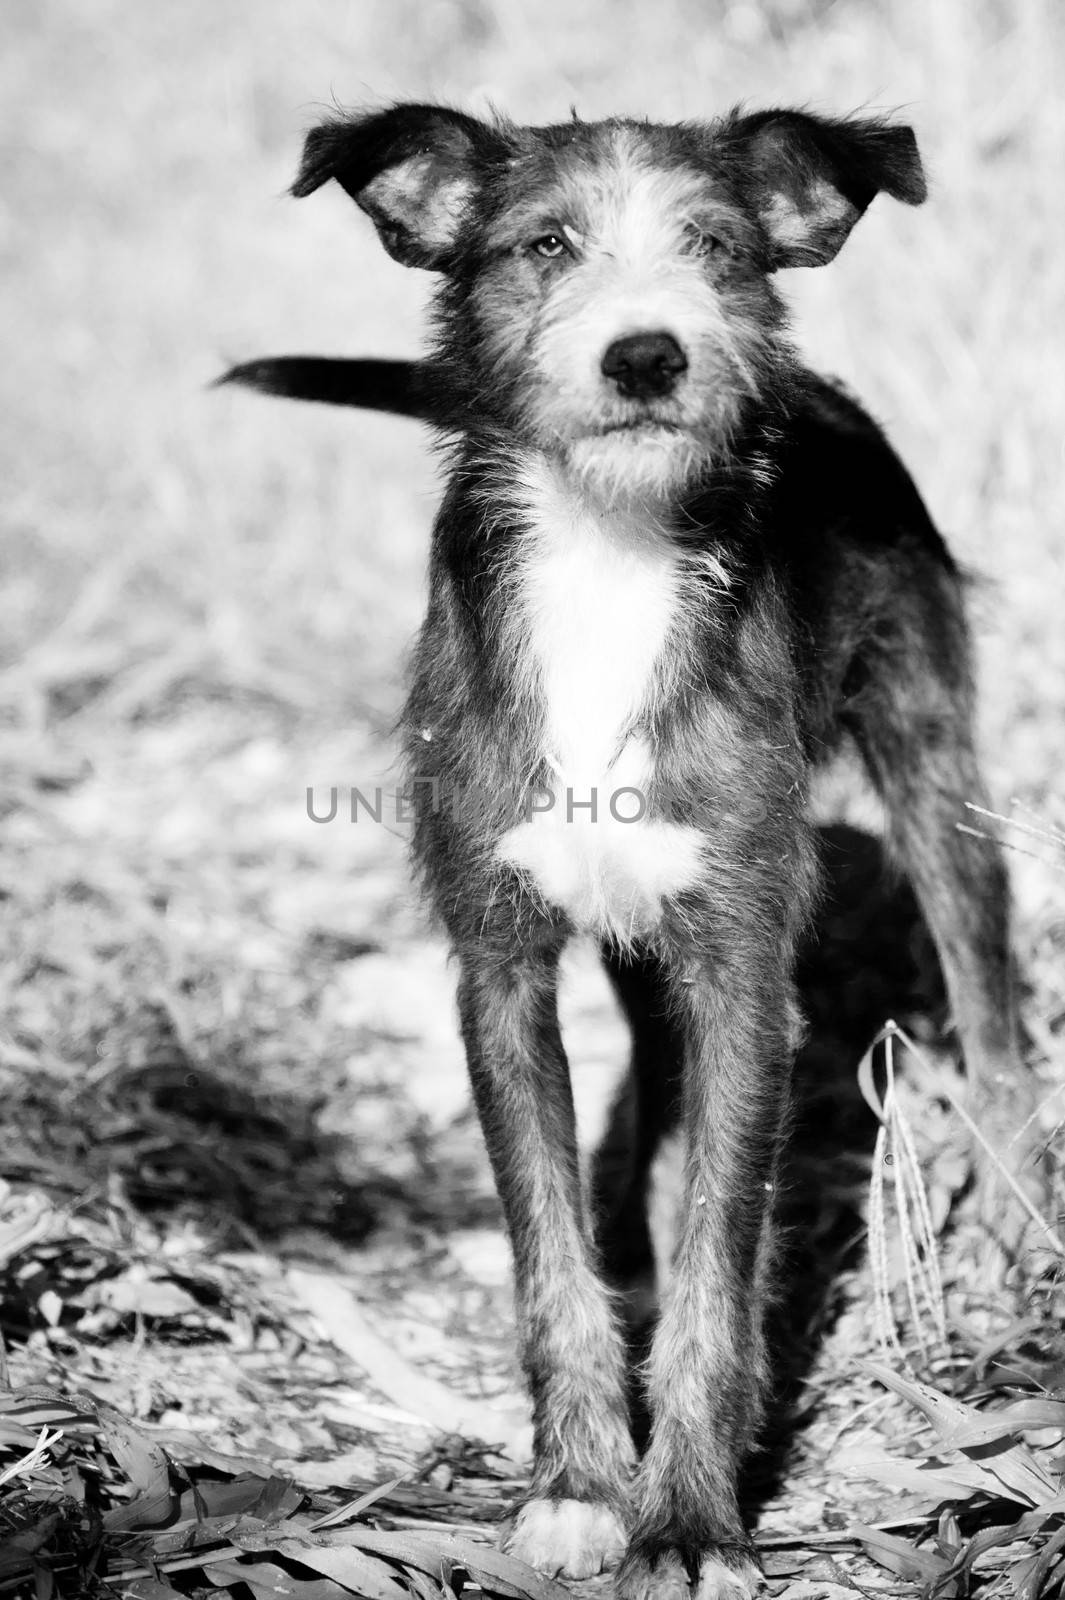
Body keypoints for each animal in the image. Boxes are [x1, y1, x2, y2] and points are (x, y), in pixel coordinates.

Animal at [222, 106, 1010, 1600]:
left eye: (715, 246)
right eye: (543, 245)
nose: (648, 354)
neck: (607, 547)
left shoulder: (744, 977)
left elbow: (721, 1262)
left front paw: (688, 1517)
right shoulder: (499, 969)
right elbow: (548, 1251)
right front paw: (581, 1486)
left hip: (934, 773)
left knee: (991, 1001)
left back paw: (1015, 1195)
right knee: (649, 1105)